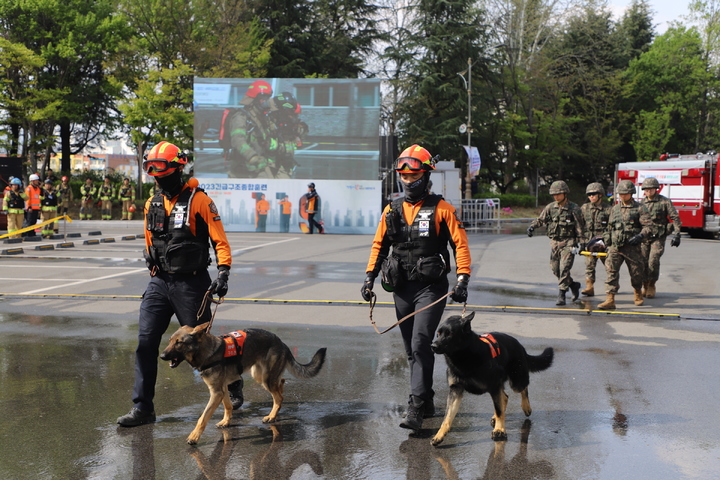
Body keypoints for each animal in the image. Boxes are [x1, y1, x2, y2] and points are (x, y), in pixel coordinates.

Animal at [160, 324, 326, 444]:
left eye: (179, 343)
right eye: (170, 341)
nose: (161, 356)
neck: (206, 352)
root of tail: (281, 342)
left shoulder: (216, 392)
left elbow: (202, 418)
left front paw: (194, 437)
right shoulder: (222, 390)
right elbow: (228, 406)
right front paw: (226, 421)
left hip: (265, 378)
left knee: (279, 397)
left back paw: (272, 416)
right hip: (259, 375)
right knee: (281, 383)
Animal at [430, 312, 556, 446]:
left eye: (450, 334)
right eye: (438, 334)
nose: (433, 346)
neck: (464, 357)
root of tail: (520, 345)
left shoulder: (494, 387)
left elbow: (499, 410)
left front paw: (499, 430)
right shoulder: (455, 390)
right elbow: (447, 417)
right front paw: (439, 435)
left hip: (516, 382)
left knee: (523, 388)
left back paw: (526, 407)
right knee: (505, 397)